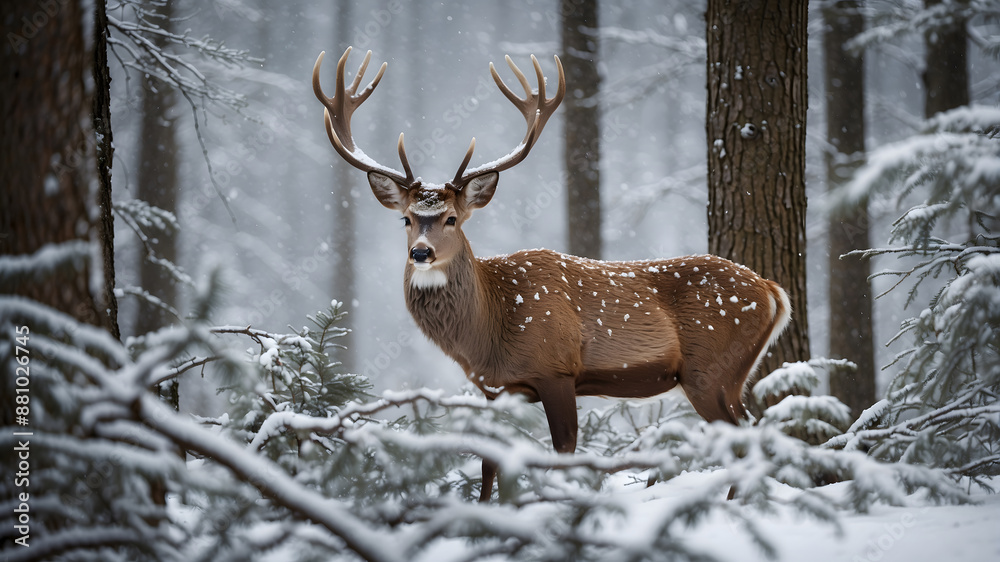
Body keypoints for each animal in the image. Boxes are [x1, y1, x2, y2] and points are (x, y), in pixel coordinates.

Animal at [312, 47, 792, 502]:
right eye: (407, 219)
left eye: (451, 218)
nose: (421, 252)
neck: (490, 329)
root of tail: (772, 290)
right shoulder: (494, 388)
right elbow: (489, 463)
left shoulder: (557, 369)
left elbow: (564, 450)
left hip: (712, 369)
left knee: (747, 434)